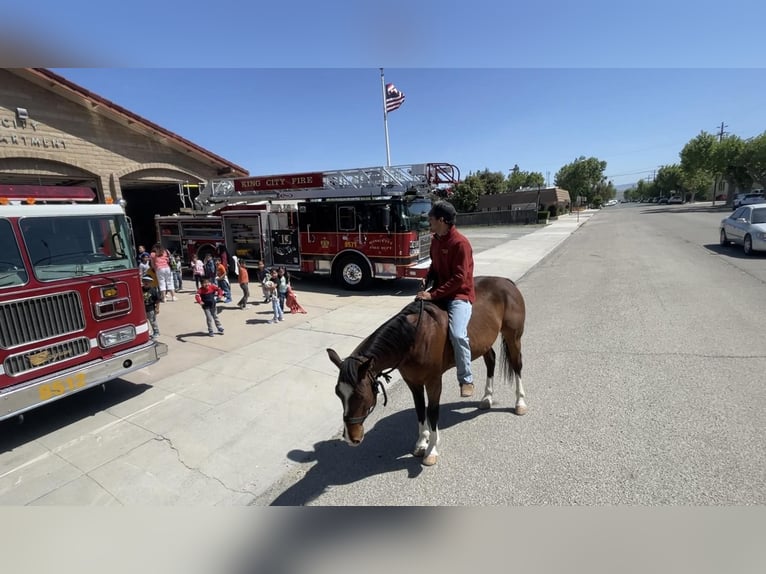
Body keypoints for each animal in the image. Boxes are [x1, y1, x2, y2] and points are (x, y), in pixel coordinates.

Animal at [328, 276, 524, 468]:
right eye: (338, 394)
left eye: (361, 396)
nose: (350, 438)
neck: (413, 337)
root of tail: (506, 282)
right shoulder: (413, 382)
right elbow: (420, 410)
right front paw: (421, 443)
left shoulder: (433, 381)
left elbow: (432, 412)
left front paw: (431, 451)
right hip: (484, 342)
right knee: (491, 361)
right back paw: (487, 398)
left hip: (513, 337)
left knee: (517, 366)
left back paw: (520, 403)